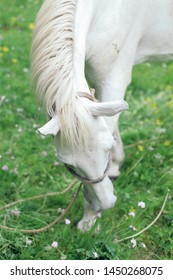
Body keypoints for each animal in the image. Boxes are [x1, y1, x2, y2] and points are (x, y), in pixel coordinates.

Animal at [31, 0, 173, 232]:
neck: (109, 9)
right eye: (68, 164)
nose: (105, 203)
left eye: (106, 149)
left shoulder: (114, 79)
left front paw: (89, 218)